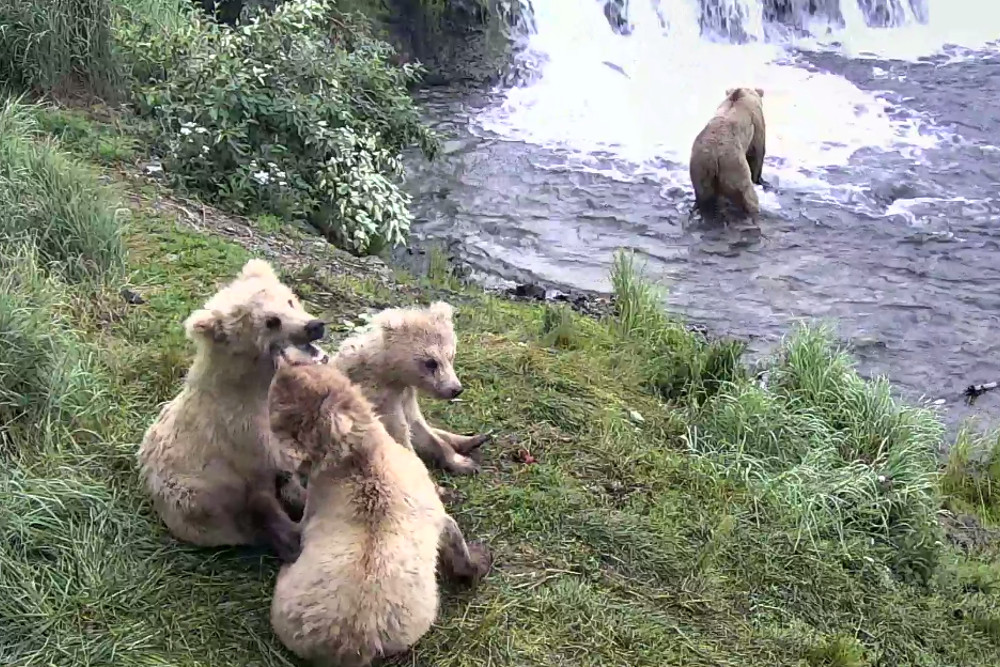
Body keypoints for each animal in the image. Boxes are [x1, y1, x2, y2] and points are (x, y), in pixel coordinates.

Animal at [268, 362, 490, 664]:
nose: (286, 360)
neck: (362, 460)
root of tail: (351, 645)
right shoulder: (439, 517)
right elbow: (460, 548)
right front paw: (479, 563)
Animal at [330, 302, 490, 474]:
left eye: (451, 356)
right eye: (431, 362)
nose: (456, 389)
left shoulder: (405, 394)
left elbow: (419, 426)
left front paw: (464, 463)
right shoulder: (380, 398)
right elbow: (401, 433)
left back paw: (474, 438)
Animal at [688, 87, 764, 219]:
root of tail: (713, 156)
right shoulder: (756, 125)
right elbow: (757, 155)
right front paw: (758, 179)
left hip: (700, 168)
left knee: (705, 197)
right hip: (734, 167)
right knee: (747, 194)